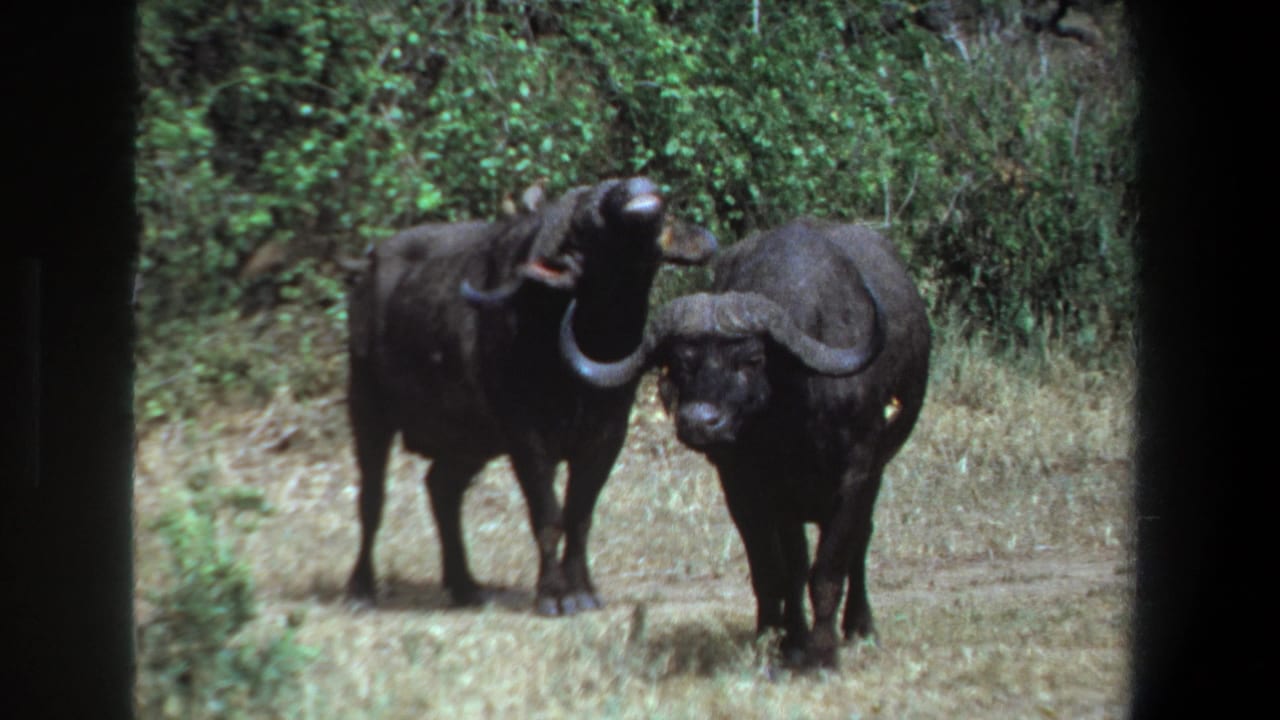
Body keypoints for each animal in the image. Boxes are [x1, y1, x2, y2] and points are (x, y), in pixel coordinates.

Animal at [346, 177, 717, 616]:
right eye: (587, 223)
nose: (633, 188)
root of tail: (367, 267)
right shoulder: (527, 439)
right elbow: (549, 517)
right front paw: (553, 595)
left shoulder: (607, 437)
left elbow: (580, 517)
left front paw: (582, 590)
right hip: (367, 406)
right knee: (372, 498)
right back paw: (361, 588)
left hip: (470, 441)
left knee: (442, 488)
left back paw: (465, 585)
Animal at [562, 218, 930, 666]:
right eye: (679, 364)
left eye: (751, 360)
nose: (700, 422)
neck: (792, 423)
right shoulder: (748, 487)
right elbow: (776, 571)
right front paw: (781, 643)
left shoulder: (857, 476)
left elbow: (829, 569)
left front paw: (823, 653)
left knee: (859, 543)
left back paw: (860, 627)